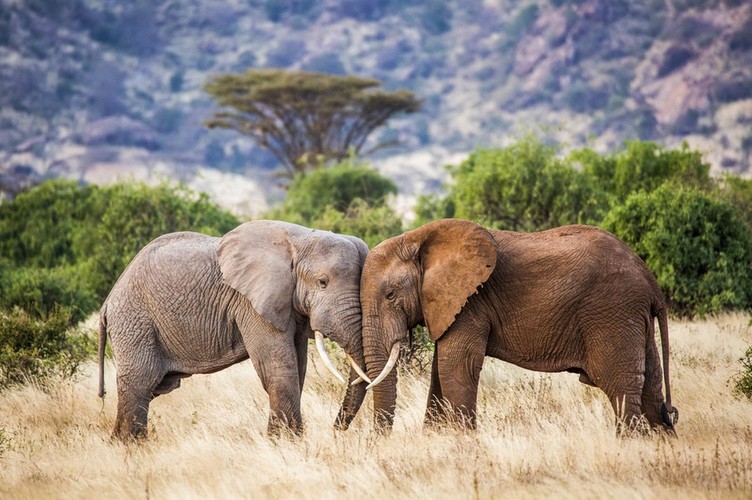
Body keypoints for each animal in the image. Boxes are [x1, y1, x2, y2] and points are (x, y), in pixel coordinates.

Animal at [99, 221, 370, 440]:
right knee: (140, 384)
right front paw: (285, 442)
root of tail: (108, 301)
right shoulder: (250, 304)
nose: (335, 430)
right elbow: (279, 367)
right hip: (134, 323)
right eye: (322, 282)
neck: (300, 239)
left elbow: (298, 366)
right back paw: (132, 445)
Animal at [356, 219, 680, 434]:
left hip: (613, 312)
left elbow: (456, 367)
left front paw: (462, 444)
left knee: (620, 386)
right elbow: (441, 370)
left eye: (390, 295)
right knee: (651, 389)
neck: (417, 238)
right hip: (632, 318)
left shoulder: (471, 302)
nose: (379, 440)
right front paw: (436, 439)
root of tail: (650, 279)